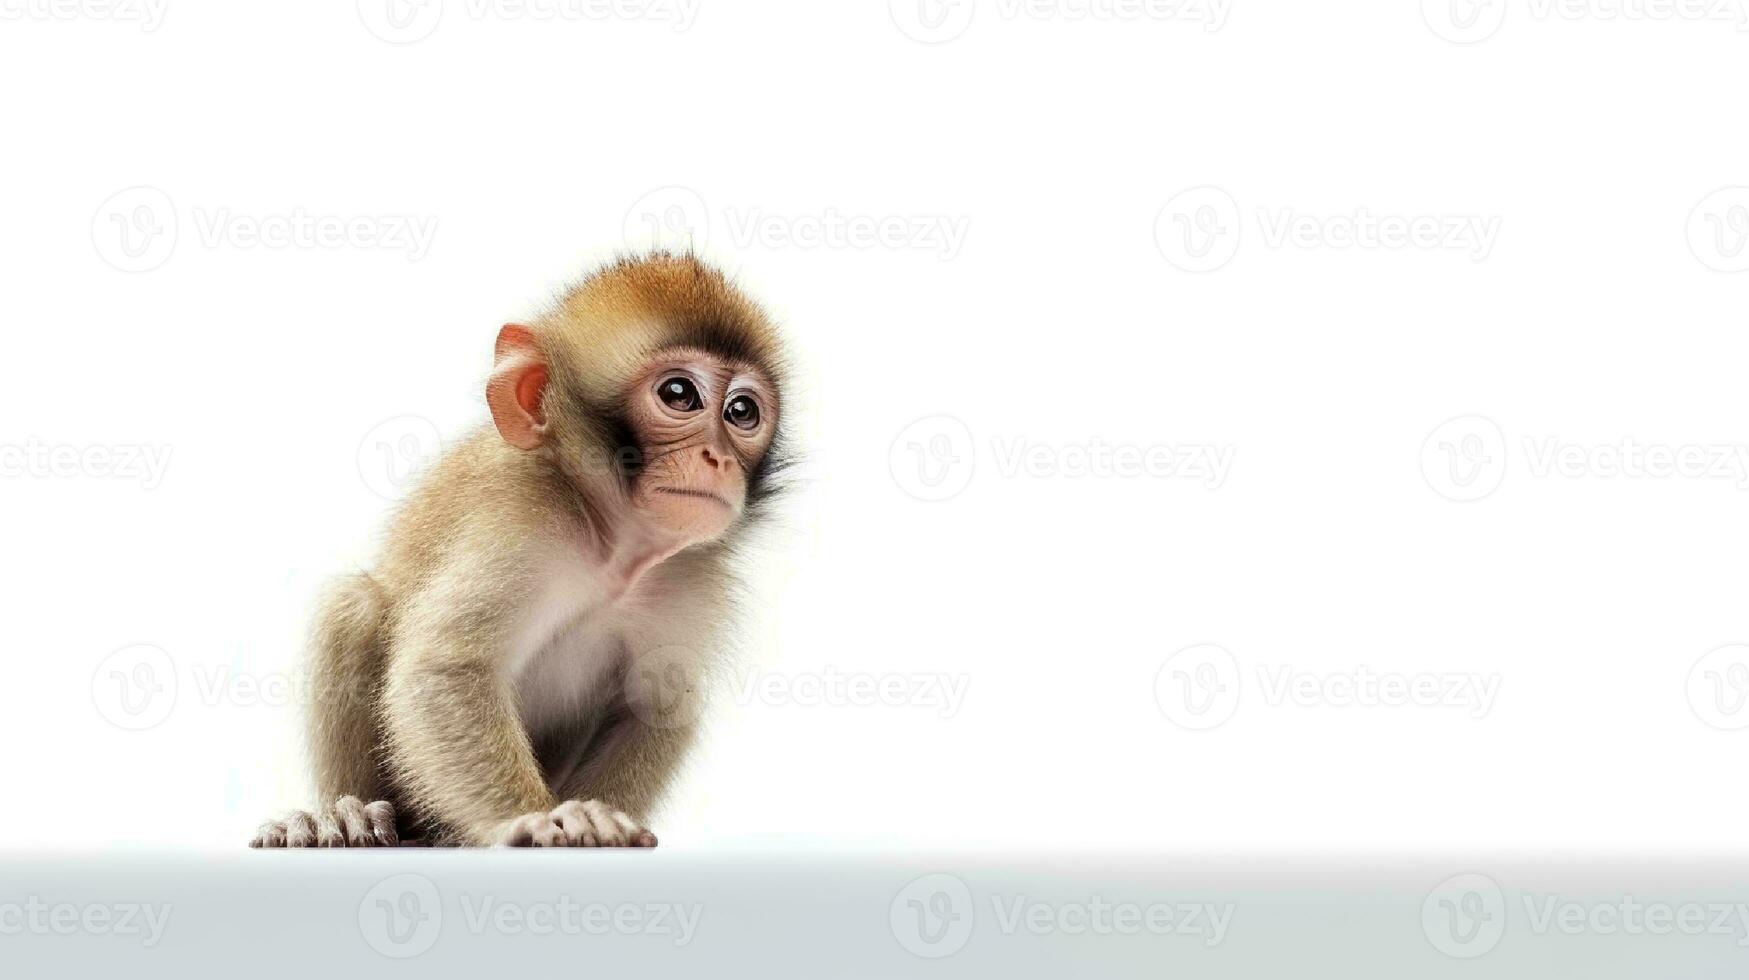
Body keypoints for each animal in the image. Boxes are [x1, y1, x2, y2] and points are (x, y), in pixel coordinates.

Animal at [251, 253, 787, 850]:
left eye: (742, 411)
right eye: (678, 395)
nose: (718, 458)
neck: (613, 550)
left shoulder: (691, 579)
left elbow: (653, 707)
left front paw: (603, 821)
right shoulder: (521, 521)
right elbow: (445, 671)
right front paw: (536, 818)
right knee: (355, 604)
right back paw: (345, 816)